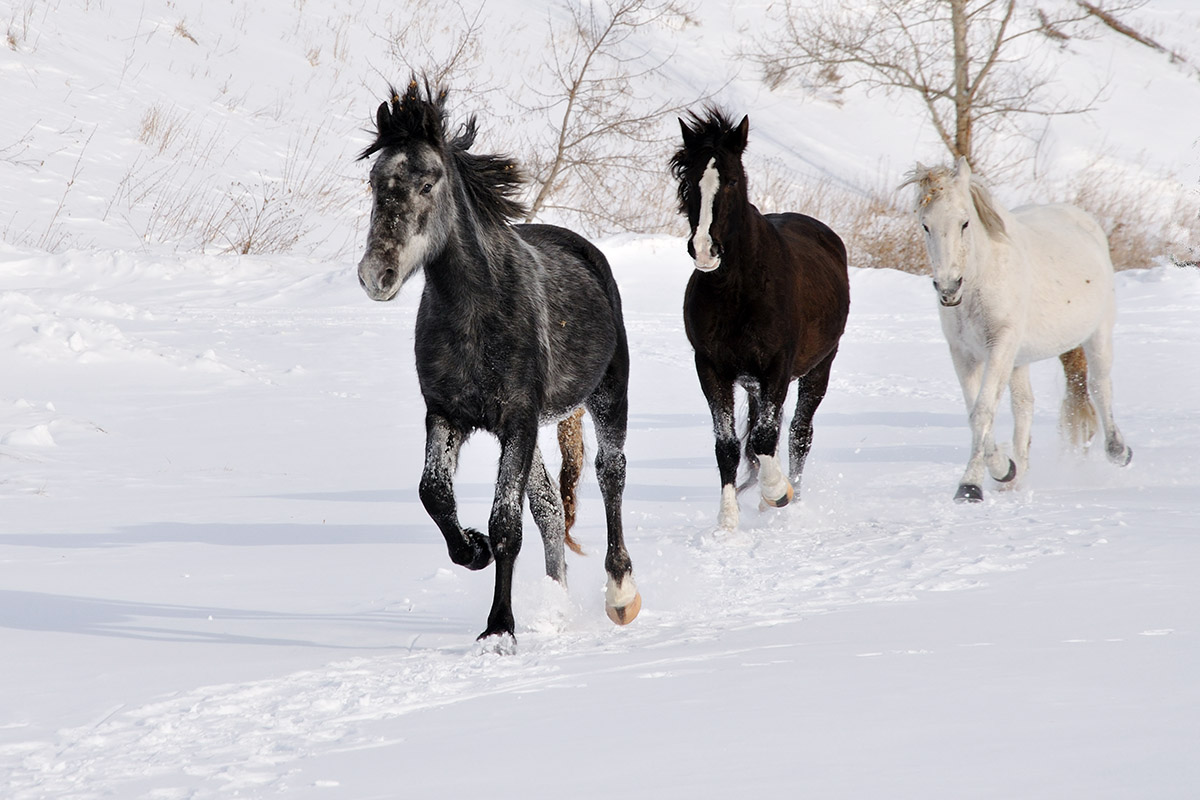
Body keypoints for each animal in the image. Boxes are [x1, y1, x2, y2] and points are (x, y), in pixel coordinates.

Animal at [672, 107, 849, 532]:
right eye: (686, 179)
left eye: (732, 180)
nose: (704, 249)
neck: (738, 291)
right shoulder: (711, 368)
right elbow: (728, 445)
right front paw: (727, 520)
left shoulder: (777, 367)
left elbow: (767, 437)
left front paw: (776, 492)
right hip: (754, 384)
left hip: (819, 367)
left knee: (799, 433)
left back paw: (791, 494)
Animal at [902, 159, 1132, 503]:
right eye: (925, 225)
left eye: (965, 223)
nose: (948, 289)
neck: (981, 279)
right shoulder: (964, 353)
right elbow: (976, 412)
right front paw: (1001, 469)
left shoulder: (1000, 344)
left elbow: (982, 411)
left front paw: (970, 486)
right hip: (1019, 359)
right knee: (1024, 405)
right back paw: (1015, 477)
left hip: (1098, 333)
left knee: (1099, 386)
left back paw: (1118, 451)